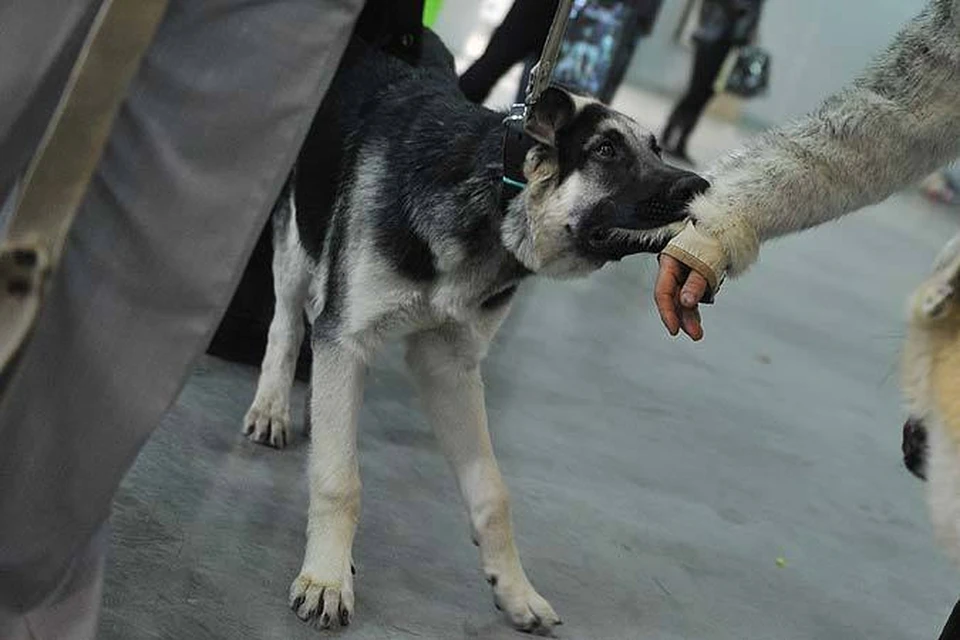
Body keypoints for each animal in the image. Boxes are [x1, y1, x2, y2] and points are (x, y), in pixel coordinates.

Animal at [240, 30, 704, 632]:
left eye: (656, 149)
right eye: (606, 151)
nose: (701, 184)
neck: (495, 195)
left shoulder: (450, 368)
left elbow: (492, 491)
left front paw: (515, 588)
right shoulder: (349, 339)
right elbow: (340, 479)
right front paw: (326, 577)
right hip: (300, 233)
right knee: (288, 322)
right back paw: (272, 406)